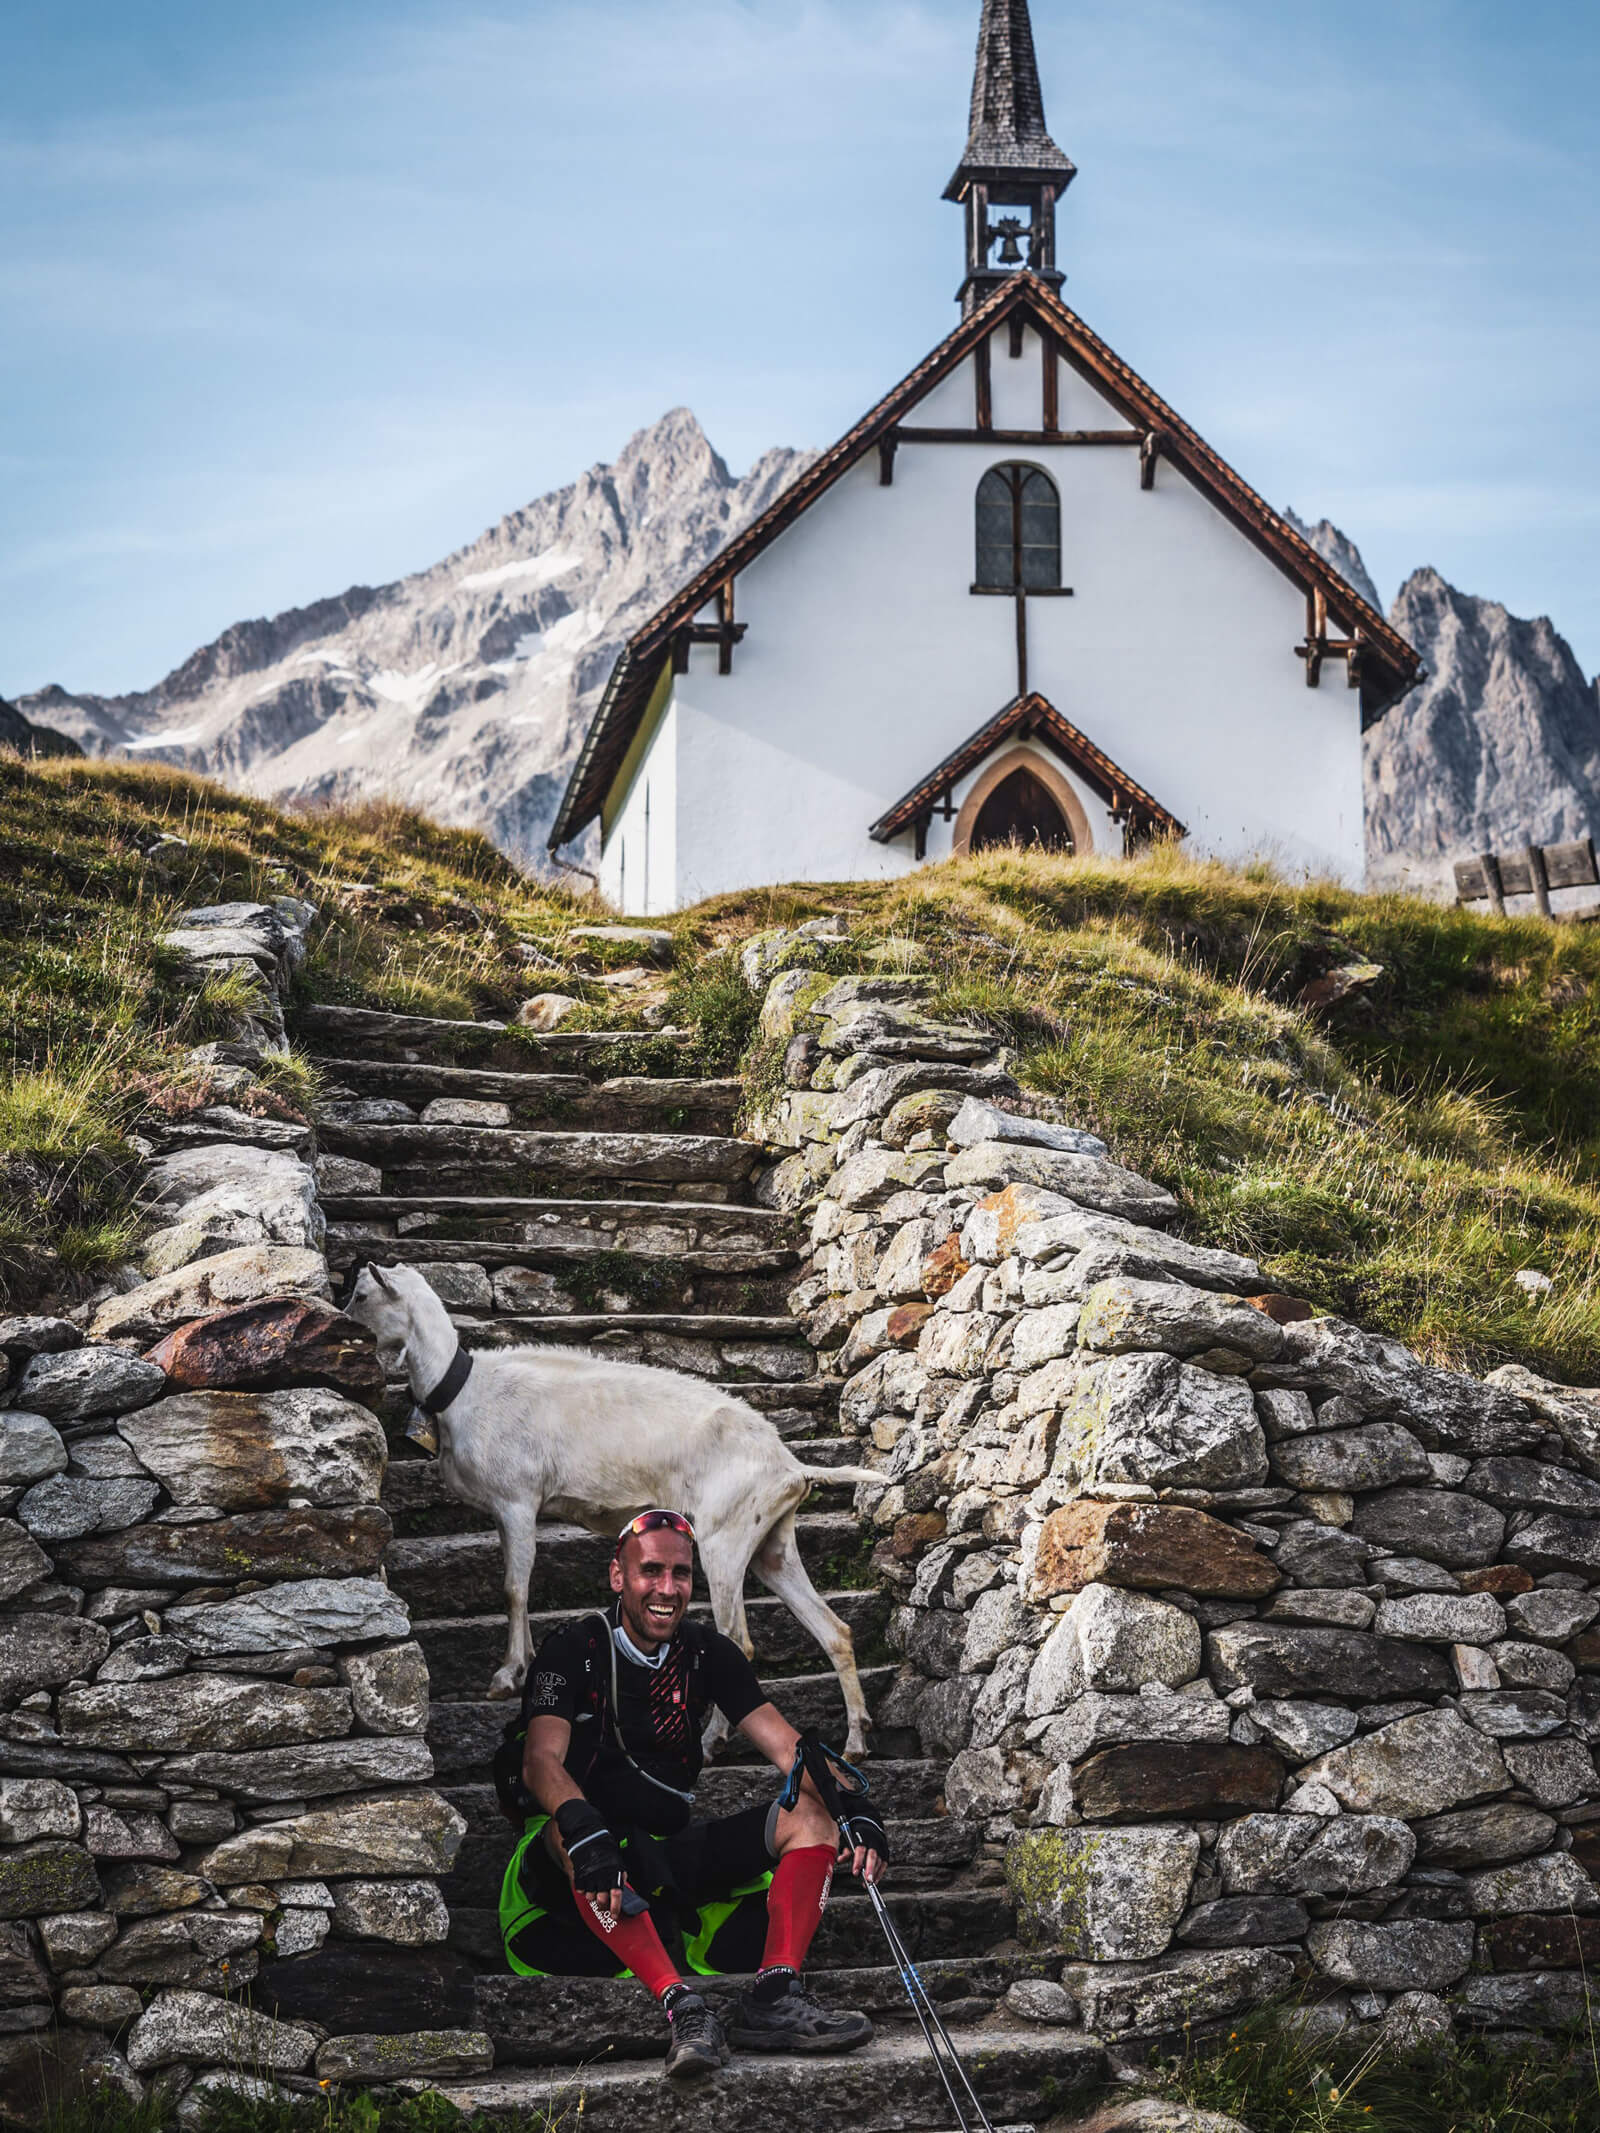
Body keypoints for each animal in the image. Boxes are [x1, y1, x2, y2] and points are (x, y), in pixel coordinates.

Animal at [345, 1254, 883, 1757]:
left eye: (362, 1296)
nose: (346, 1324)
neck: (466, 1392)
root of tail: (791, 1467)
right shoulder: (506, 1511)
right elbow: (518, 1585)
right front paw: (526, 1666)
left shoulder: (517, 1500)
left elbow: (514, 1588)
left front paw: (507, 1674)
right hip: (770, 1540)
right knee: (834, 1631)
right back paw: (856, 1740)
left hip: (724, 1538)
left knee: (739, 1641)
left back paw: (713, 1741)